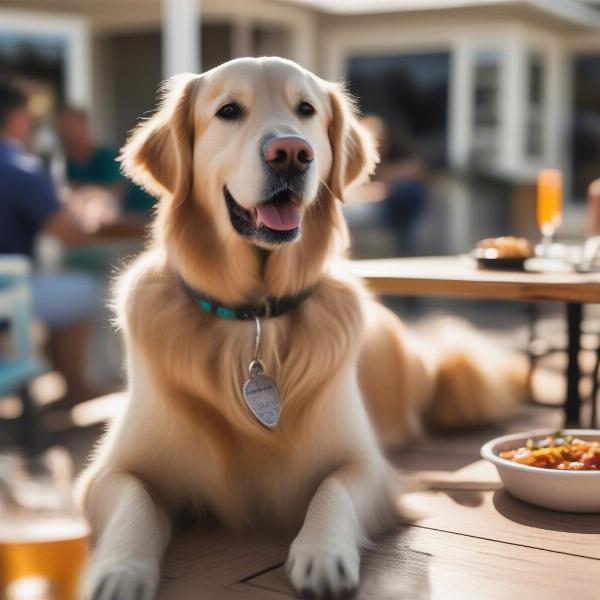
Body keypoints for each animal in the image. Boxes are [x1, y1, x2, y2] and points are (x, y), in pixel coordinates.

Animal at [78, 57, 520, 600]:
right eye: (228, 110)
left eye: (306, 110)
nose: (291, 153)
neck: (254, 319)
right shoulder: (110, 471)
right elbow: (132, 506)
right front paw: (118, 568)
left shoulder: (367, 467)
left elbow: (334, 490)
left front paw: (321, 552)